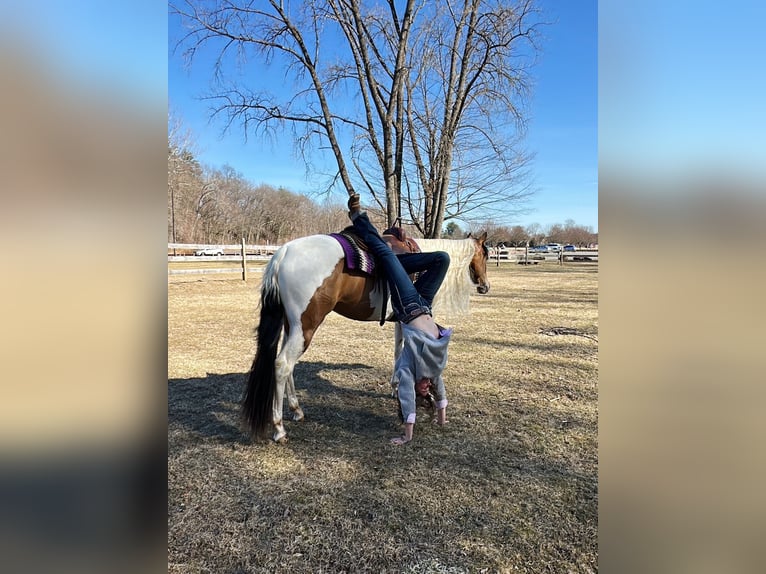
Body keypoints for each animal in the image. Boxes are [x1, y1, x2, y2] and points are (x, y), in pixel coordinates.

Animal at [243, 232, 488, 444]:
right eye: (486, 254)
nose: (485, 287)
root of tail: (283, 253)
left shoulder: (400, 321)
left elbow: (398, 350)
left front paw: (395, 386)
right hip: (306, 326)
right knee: (283, 364)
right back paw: (279, 429)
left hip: (292, 326)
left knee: (287, 366)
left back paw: (296, 410)